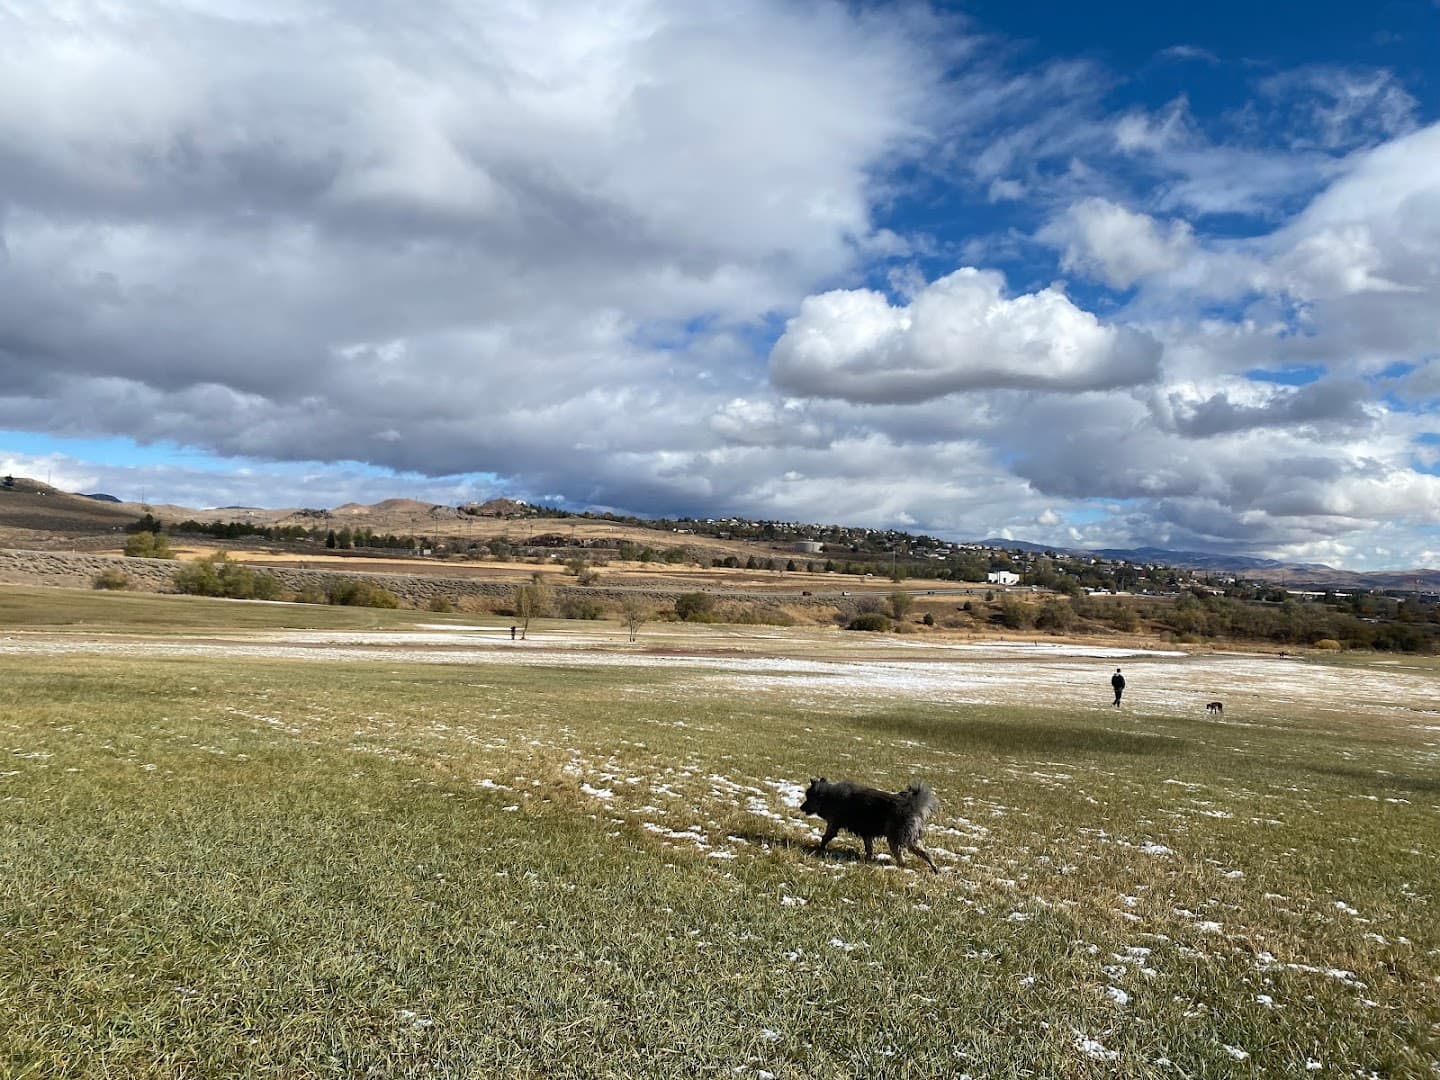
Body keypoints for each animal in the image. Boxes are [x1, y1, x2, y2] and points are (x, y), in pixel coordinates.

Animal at [800, 777, 933, 869]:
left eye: (809, 798)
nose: (800, 807)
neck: (827, 796)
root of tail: (914, 807)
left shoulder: (833, 825)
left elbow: (825, 838)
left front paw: (819, 849)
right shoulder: (866, 833)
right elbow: (869, 848)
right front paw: (868, 859)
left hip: (896, 839)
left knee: (903, 856)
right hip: (908, 839)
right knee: (925, 852)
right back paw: (934, 869)